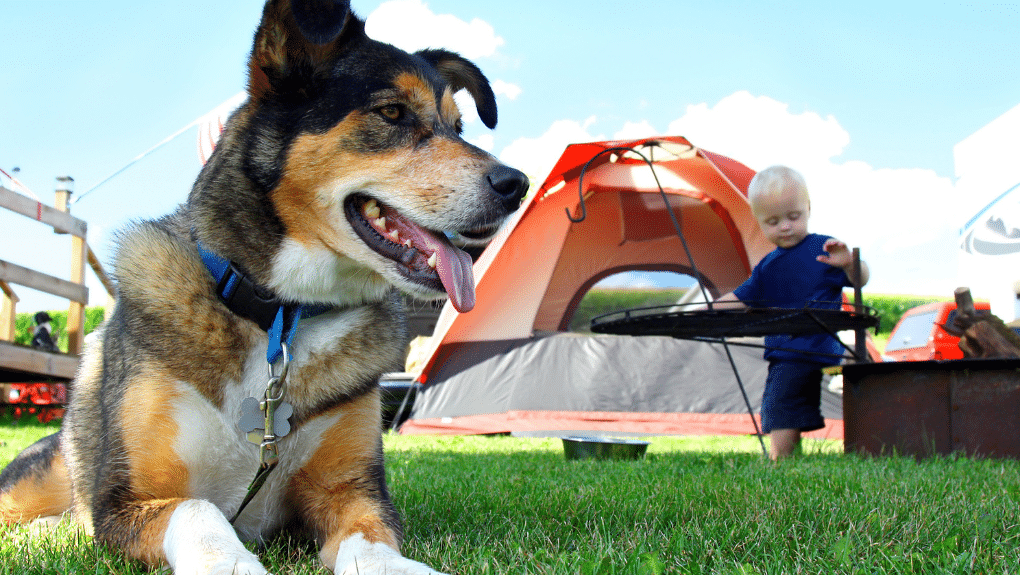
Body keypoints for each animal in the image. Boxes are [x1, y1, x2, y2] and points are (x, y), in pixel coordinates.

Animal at [0, 1, 526, 575]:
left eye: (459, 126)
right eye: (392, 113)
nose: (516, 185)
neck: (280, 317)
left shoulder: (350, 490)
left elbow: (369, 540)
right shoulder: (124, 503)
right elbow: (197, 510)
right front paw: (228, 562)